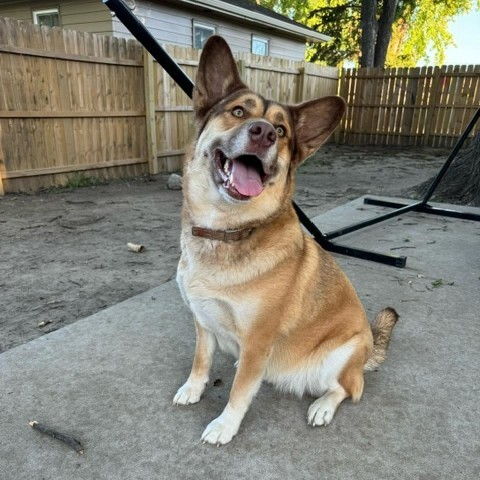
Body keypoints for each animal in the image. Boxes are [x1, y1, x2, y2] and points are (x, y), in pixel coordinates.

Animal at [172, 34, 398, 446]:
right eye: (239, 112)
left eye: (281, 132)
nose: (263, 133)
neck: (225, 231)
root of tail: (370, 346)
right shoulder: (203, 321)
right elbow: (201, 360)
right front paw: (193, 389)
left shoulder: (258, 340)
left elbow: (239, 390)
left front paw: (225, 425)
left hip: (339, 356)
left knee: (350, 388)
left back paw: (323, 406)